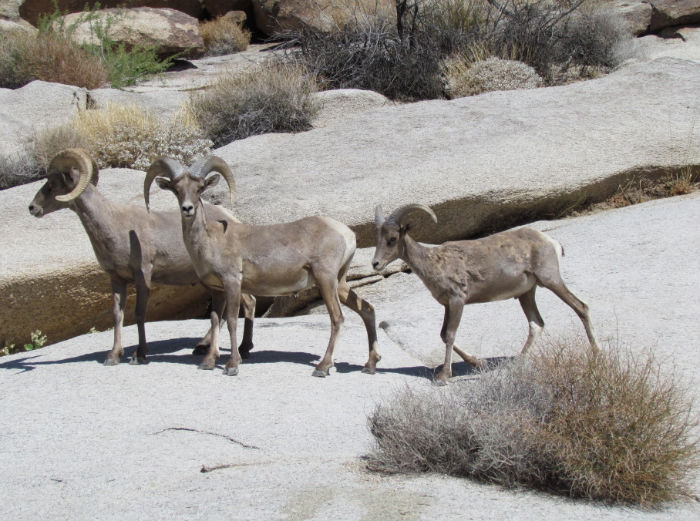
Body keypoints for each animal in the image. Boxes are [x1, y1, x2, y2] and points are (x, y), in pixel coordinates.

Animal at [29, 148, 258, 364]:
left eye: (53, 183)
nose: (32, 207)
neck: (114, 224)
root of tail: (231, 218)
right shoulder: (116, 279)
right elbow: (118, 315)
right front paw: (113, 356)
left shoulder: (142, 275)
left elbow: (139, 314)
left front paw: (139, 355)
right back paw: (204, 347)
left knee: (248, 302)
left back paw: (243, 349)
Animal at [144, 156, 382, 376]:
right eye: (177, 189)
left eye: (199, 188)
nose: (187, 208)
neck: (210, 241)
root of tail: (347, 234)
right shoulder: (217, 290)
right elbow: (215, 320)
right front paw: (208, 362)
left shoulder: (233, 282)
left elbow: (231, 320)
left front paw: (232, 365)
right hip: (339, 283)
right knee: (367, 310)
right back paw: (370, 365)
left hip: (325, 280)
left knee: (337, 318)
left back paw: (323, 367)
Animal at [374, 205, 600, 384]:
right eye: (378, 239)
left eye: (392, 239)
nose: (375, 264)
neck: (433, 262)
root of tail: (551, 241)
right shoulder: (448, 305)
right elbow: (443, 335)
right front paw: (479, 363)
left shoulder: (457, 301)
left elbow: (450, 335)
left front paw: (444, 377)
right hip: (527, 293)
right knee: (536, 324)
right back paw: (517, 363)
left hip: (551, 281)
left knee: (581, 307)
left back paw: (596, 353)